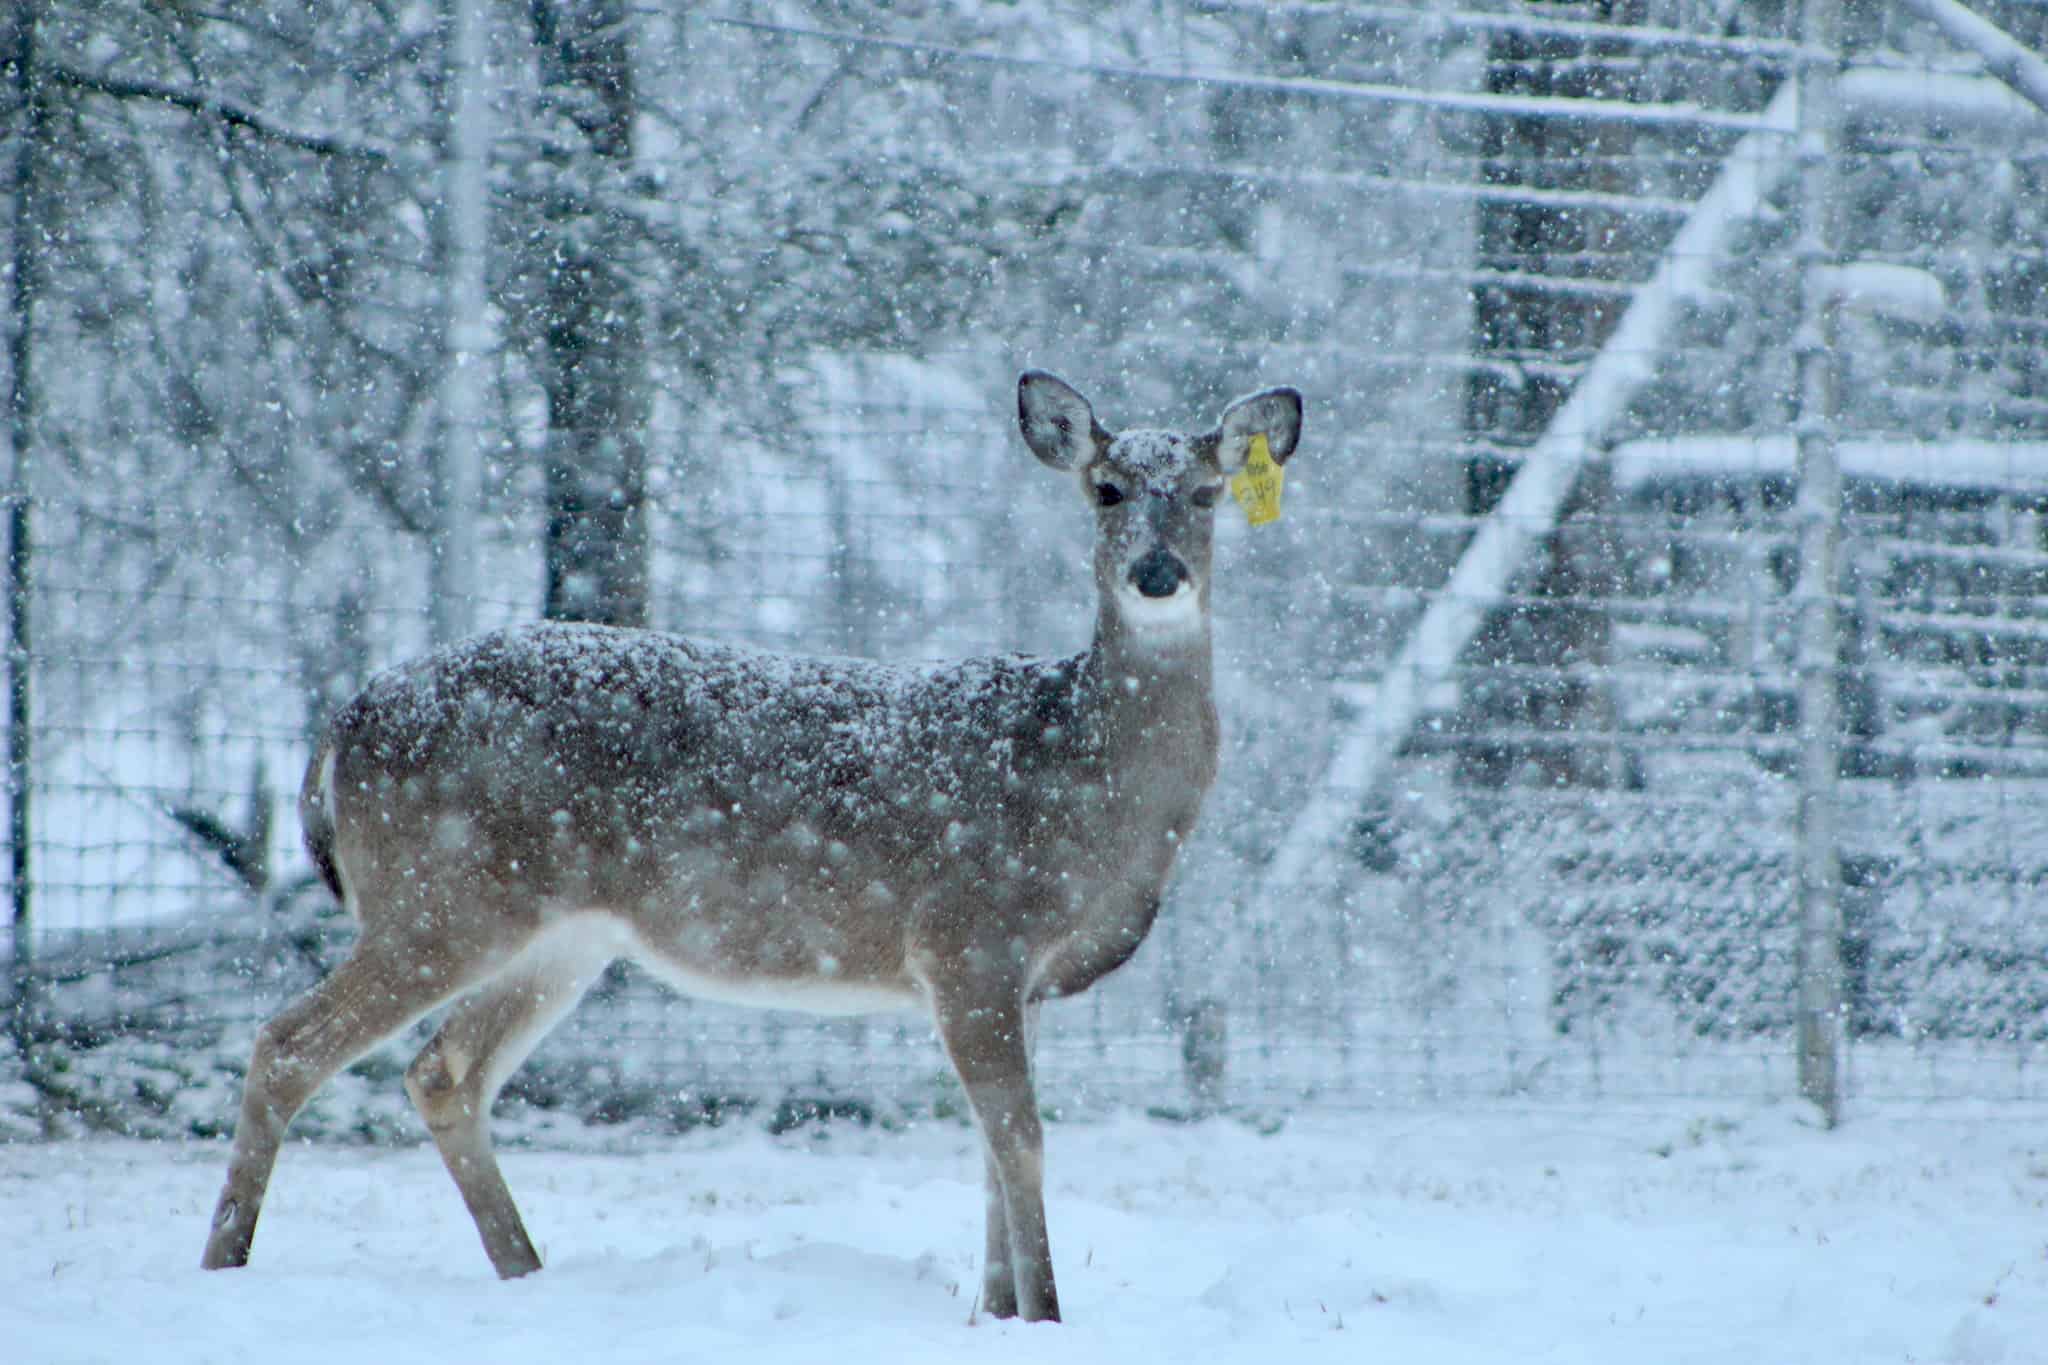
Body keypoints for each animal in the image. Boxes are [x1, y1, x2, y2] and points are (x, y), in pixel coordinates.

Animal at [199, 371, 1304, 1323]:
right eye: (1104, 488)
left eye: (1206, 492)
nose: (1156, 574)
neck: (1078, 783)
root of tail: (343, 723)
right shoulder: (965, 935)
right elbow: (1019, 1139)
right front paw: (1043, 1316)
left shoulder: (1016, 979)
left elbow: (991, 1151)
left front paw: (997, 1312)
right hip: (441, 894)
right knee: (288, 1043)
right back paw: (225, 1265)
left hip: (557, 936)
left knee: (444, 1071)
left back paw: (528, 1273)